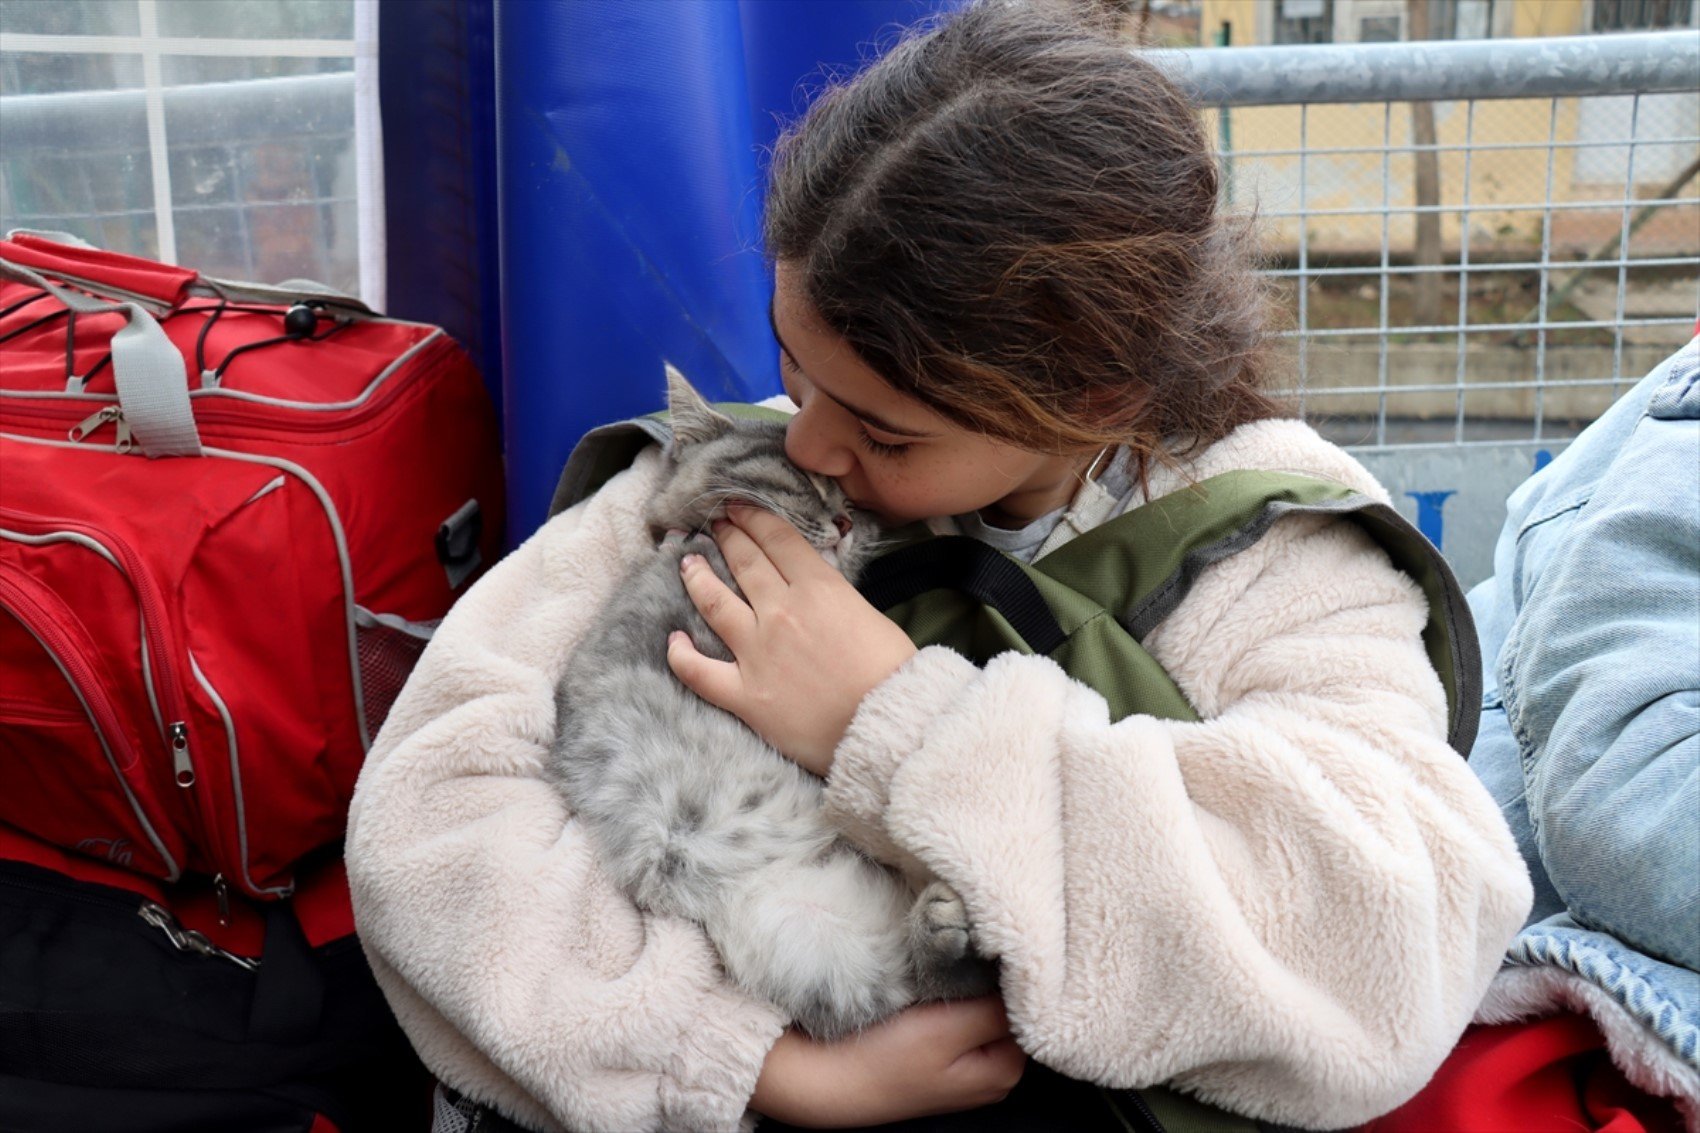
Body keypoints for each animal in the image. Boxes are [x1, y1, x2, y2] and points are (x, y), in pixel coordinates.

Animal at [550, 369, 992, 1034]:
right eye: (803, 479)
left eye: (856, 506)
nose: (844, 523)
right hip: (802, 946)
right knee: (915, 986)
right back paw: (946, 932)